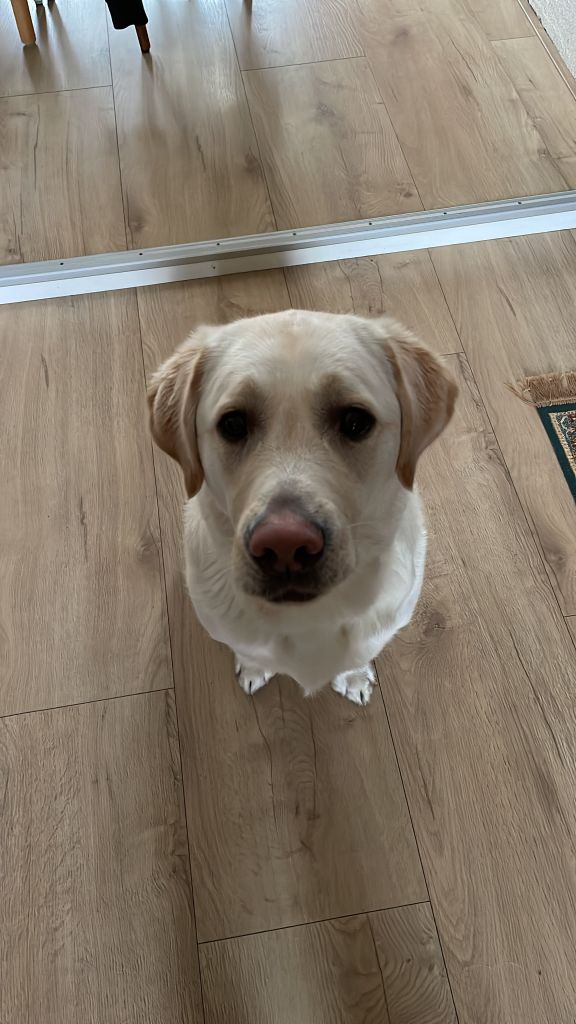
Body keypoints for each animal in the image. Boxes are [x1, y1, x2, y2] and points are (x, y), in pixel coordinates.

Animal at [148, 310, 456, 705]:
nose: (285, 543)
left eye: (356, 421)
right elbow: (249, 652)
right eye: (232, 423)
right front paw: (254, 669)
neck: (309, 617)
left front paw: (354, 676)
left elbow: (357, 655)